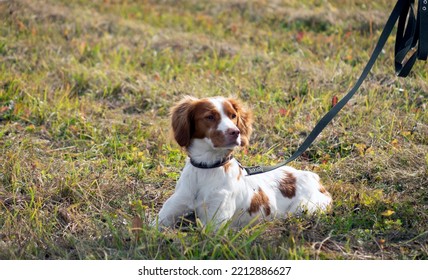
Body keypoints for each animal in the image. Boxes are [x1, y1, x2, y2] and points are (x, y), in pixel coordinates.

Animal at [156, 95, 332, 228]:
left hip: (303, 208)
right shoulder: (164, 217)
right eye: (210, 117)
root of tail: (311, 176)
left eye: (233, 115)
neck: (206, 169)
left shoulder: (214, 225)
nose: (235, 132)